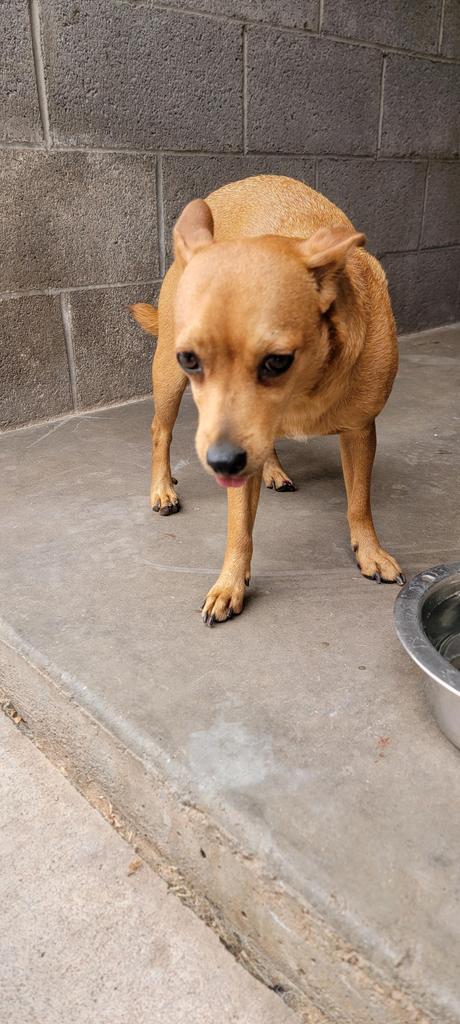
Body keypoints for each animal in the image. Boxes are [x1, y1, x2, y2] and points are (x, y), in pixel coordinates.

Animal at [131, 176, 403, 622]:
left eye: (278, 362)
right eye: (191, 359)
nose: (222, 461)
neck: (304, 391)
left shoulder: (360, 431)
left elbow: (359, 502)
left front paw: (370, 551)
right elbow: (239, 528)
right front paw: (230, 583)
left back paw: (273, 469)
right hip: (167, 381)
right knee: (160, 432)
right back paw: (162, 489)